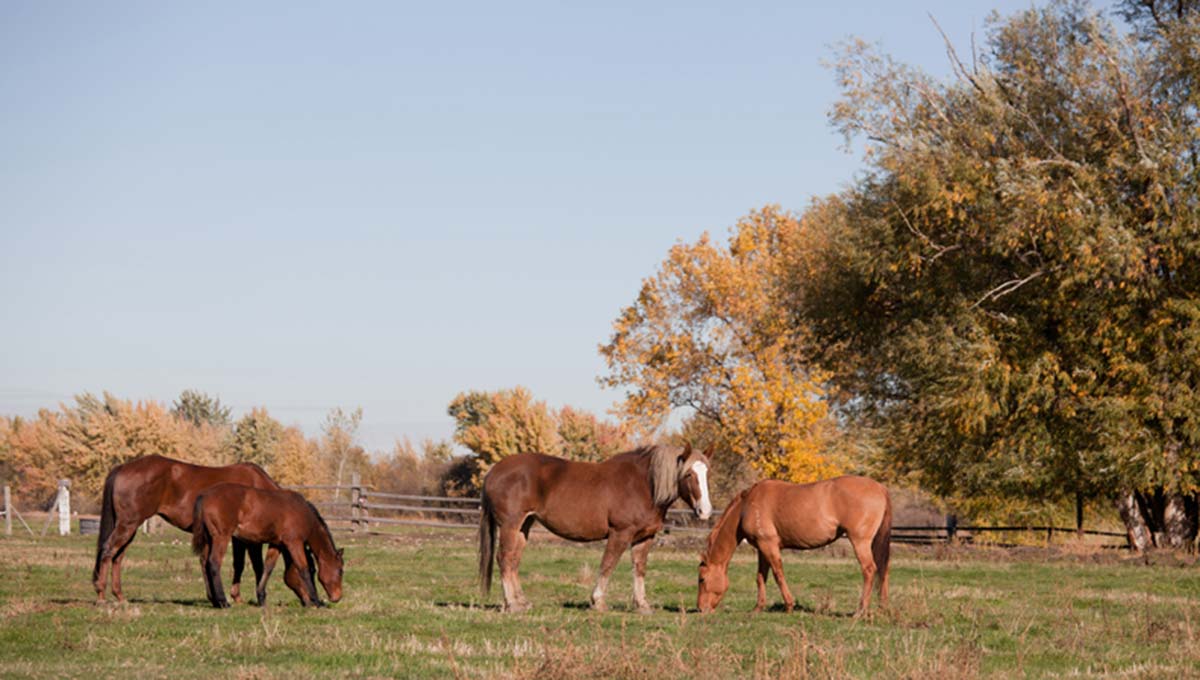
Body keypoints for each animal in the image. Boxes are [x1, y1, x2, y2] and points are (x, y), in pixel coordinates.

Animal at [92, 454, 305, 604]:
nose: (308, 600)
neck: (260, 492)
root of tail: (123, 468)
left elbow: (234, 564)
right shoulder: (248, 540)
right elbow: (253, 566)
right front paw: (249, 596)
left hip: (129, 527)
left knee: (118, 557)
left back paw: (119, 595)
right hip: (128, 525)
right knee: (108, 551)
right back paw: (101, 595)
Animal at [191, 483, 344, 608]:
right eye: (340, 570)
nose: (337, 597)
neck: (302, 513)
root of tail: (205, 495)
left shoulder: (277, 544)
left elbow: (268, 568)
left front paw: (261, 598)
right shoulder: (294, 543)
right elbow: (303, 569)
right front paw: (317, 601)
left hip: (209, 540)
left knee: (204, 562)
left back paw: (215, 600)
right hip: (221, 537)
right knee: (214, 563)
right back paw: (223, 601)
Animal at [479, 444, 713, 613]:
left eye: (706, 474)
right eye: (689, 474)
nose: (705, 511)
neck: (644, 485)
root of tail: (492, 471)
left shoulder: (644, 537)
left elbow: (639, 569)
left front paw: (642, 605)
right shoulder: (620, 533)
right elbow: (608, 565)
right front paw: (598, 602)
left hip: (523, 526)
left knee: (514, 560)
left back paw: (522, 602)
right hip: (510, 525)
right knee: (505, 559)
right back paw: (512, 605)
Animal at [697, 476, 891, 617]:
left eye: (702, 579)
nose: (700, 608)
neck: (747, 506)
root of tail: (880, 488)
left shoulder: (768, 545)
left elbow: (778, 574)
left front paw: (789, 606)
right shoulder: (761, 549)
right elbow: (760, 577)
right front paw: (758, 608)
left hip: (860, 541)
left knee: (869, 570)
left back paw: (860, 611)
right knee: (883, 570)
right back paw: (882, 608)